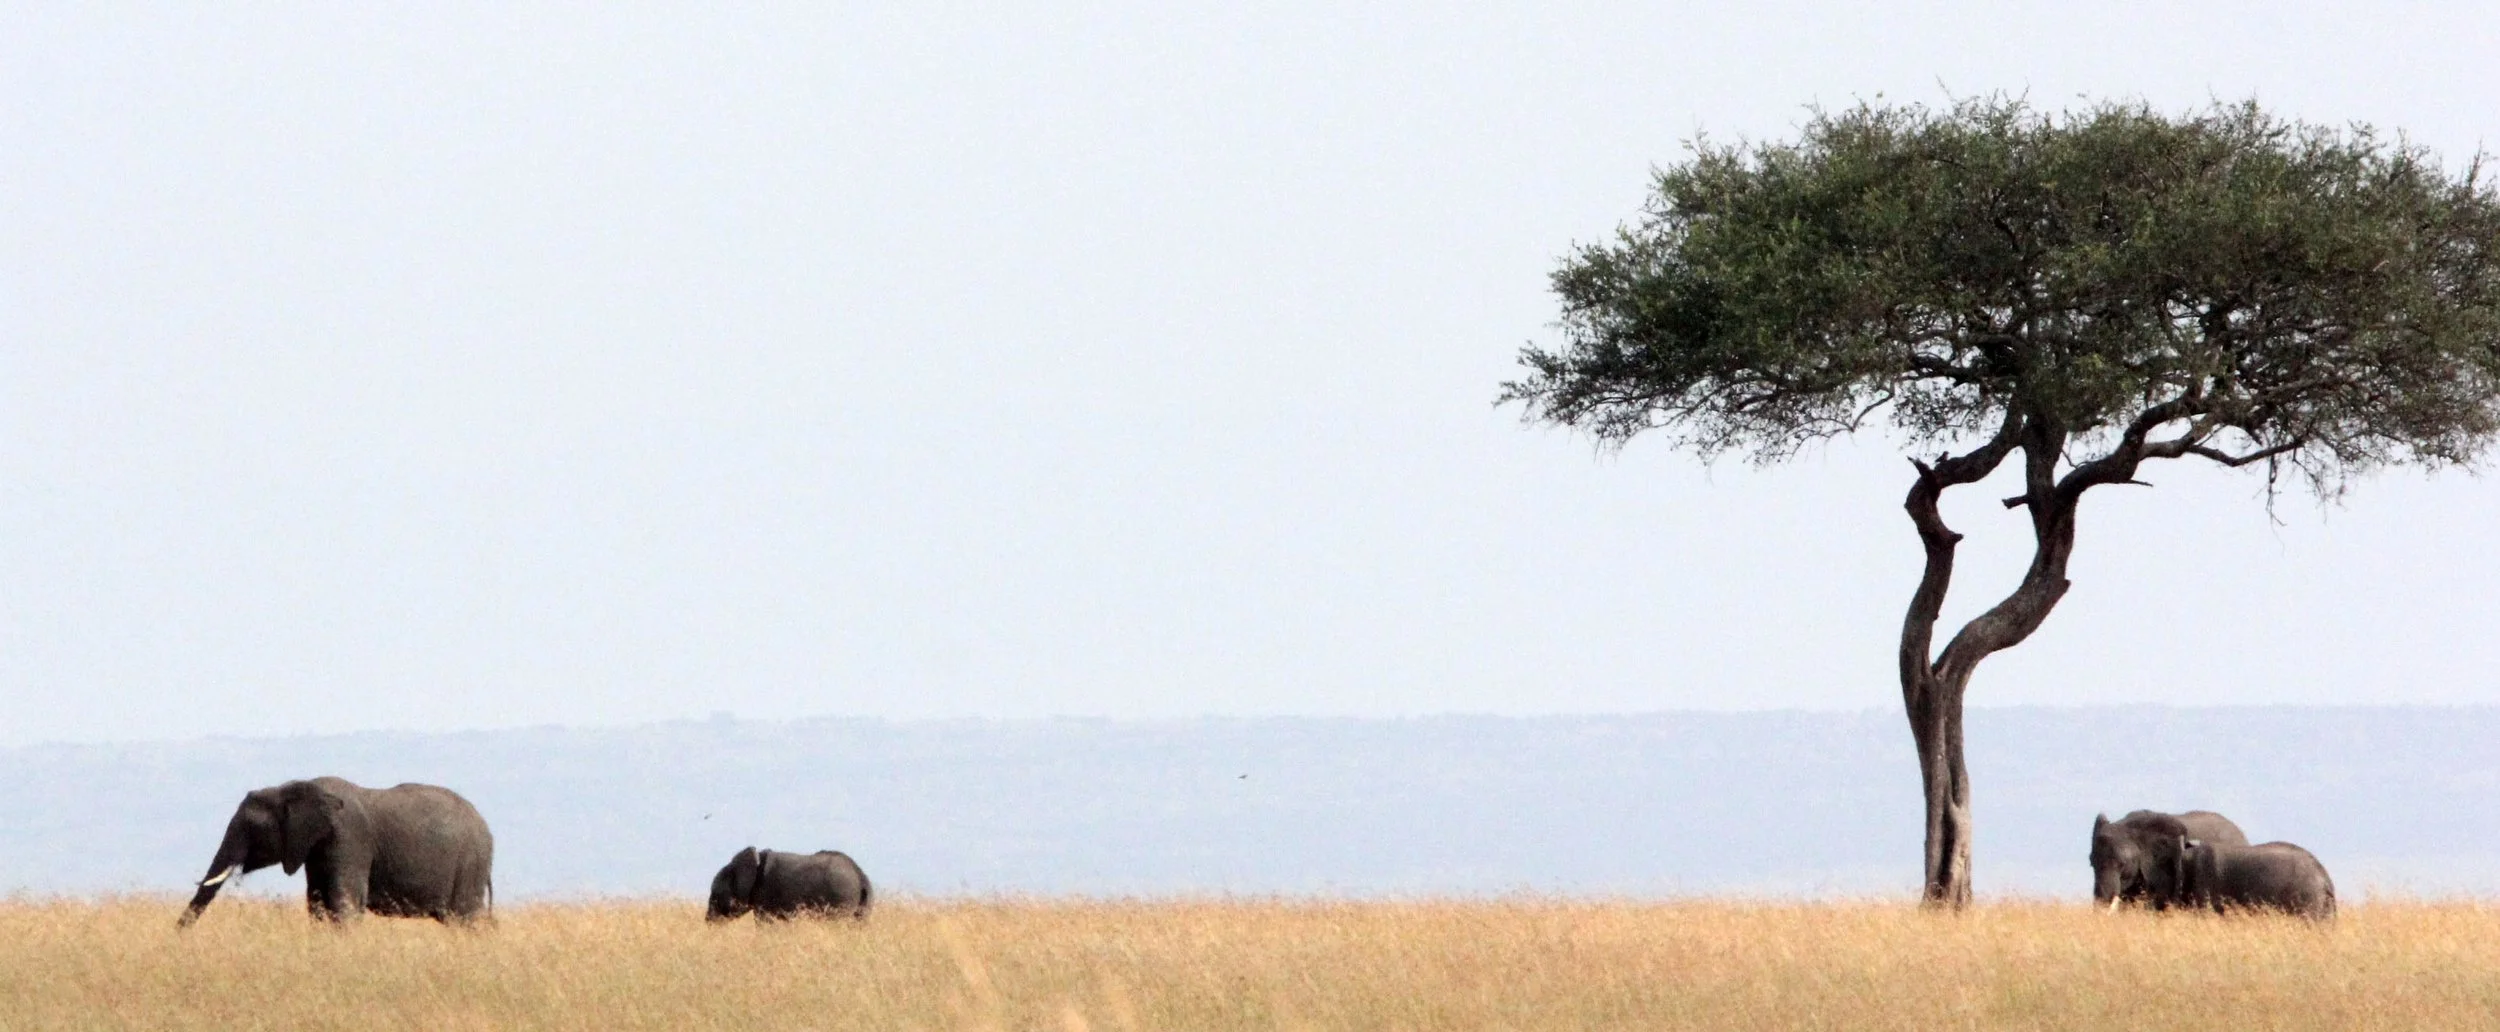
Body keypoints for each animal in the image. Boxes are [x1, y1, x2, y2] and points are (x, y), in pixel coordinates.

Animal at [178, 776, 494, 927]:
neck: (296, 788)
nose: (178, 934)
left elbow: (345, 903)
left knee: (465, 917)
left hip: (470, 863)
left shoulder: (349, 838)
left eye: (252, 828)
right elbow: (317, 903)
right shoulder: (315, 849)